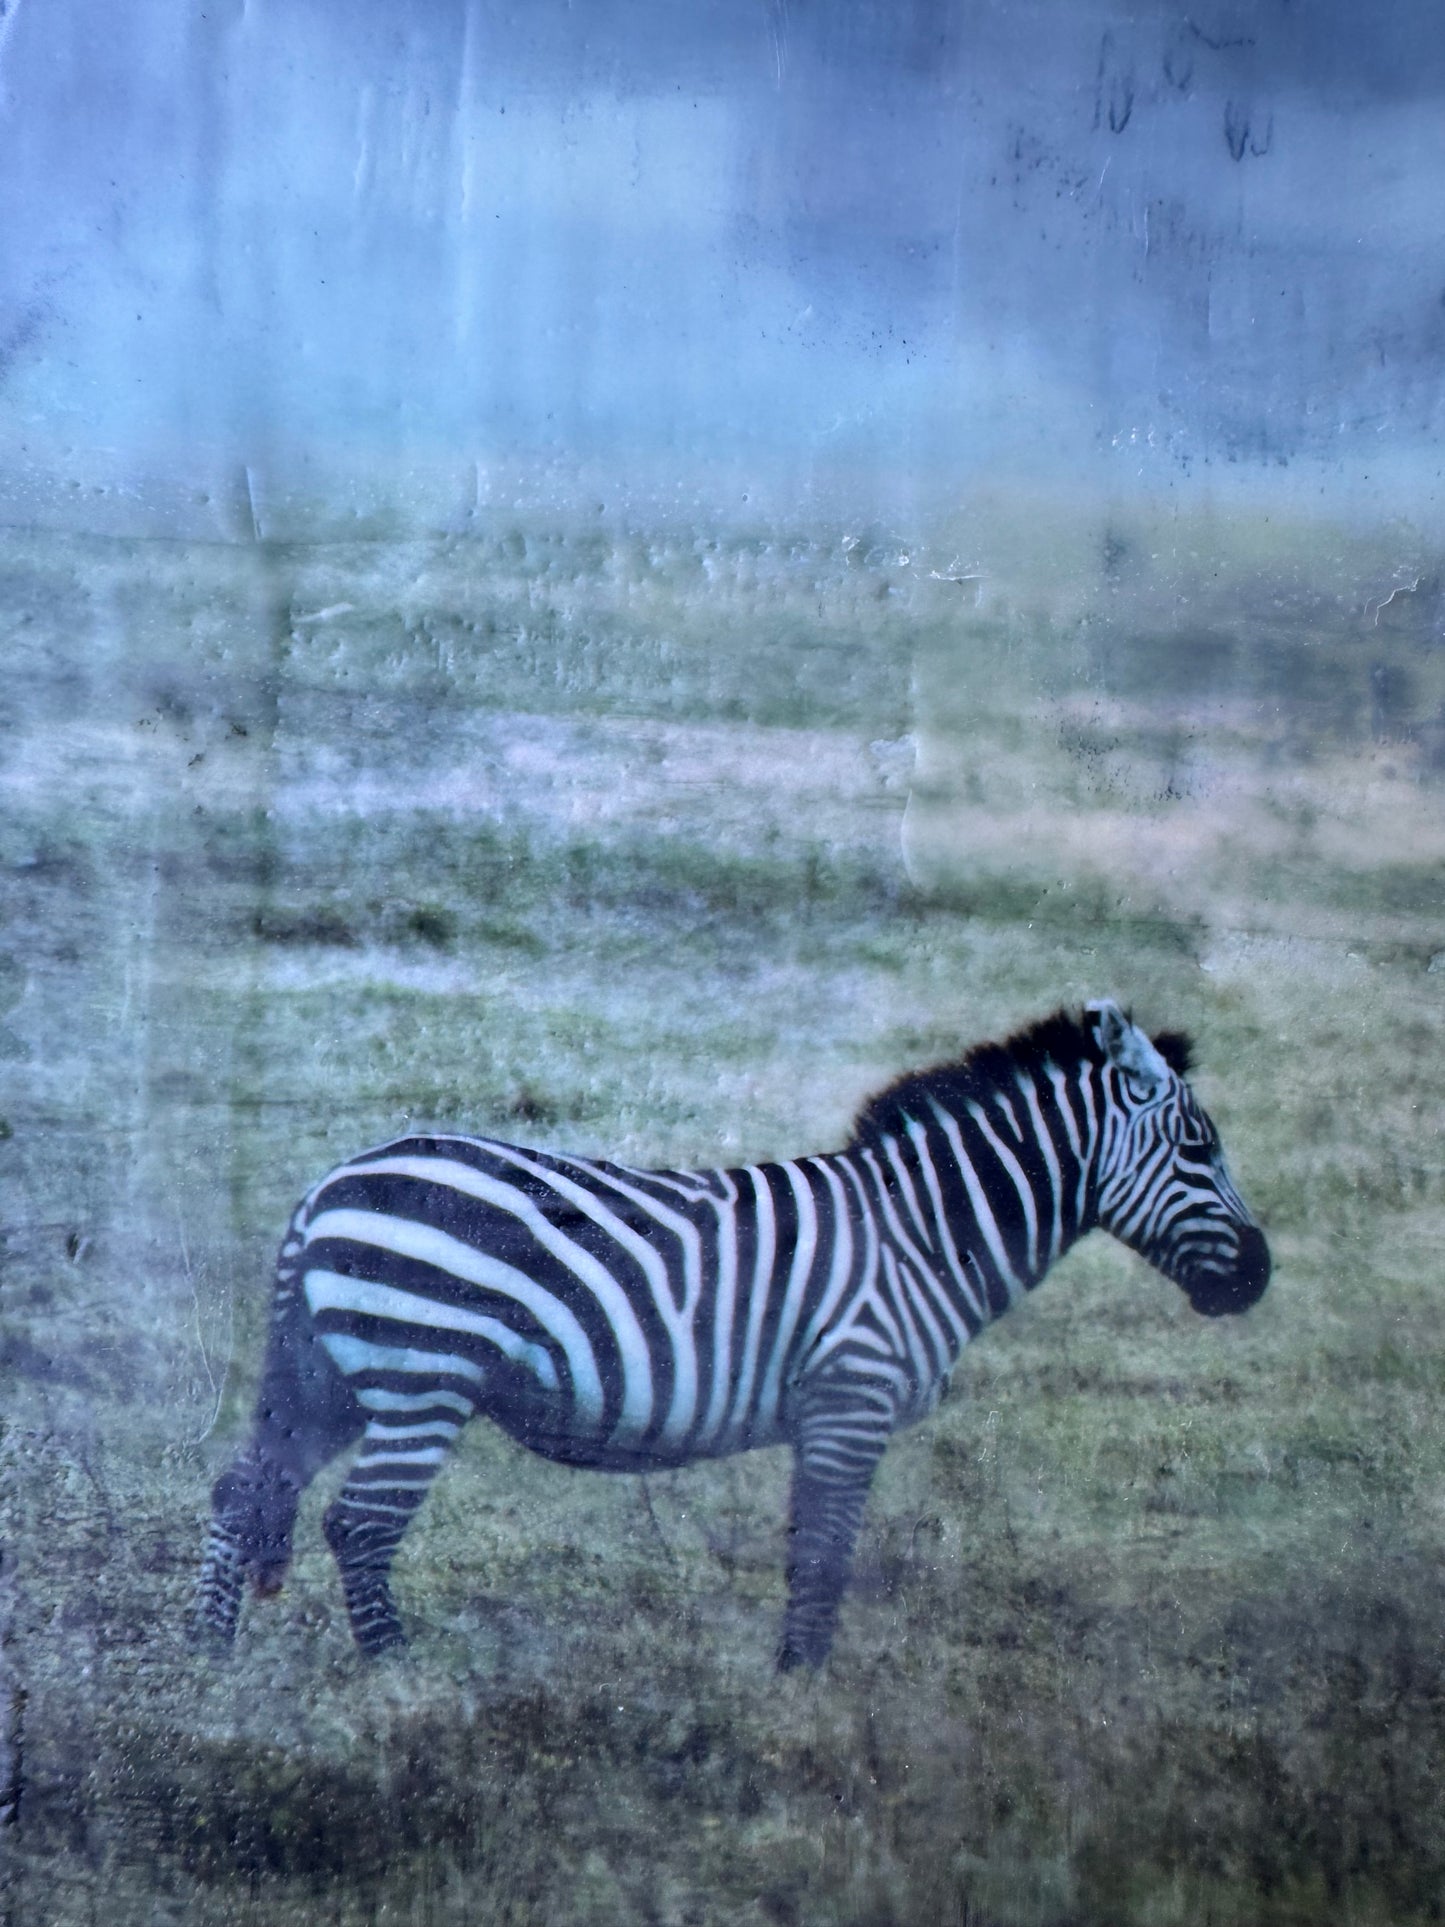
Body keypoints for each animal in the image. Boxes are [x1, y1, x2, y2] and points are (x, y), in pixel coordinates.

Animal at [193, 999, 1270, 1670]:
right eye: (1198, 1147)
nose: (1260, 1275)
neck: (923, 1230)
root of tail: (328, 1186)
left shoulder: (833, 1410)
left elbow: (810, 1545)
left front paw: (795, 1675)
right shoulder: (851, 1395)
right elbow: (825, 1550)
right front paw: (803, 1685)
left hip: (331, 1375)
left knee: (246, 1490)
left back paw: (208, 1661)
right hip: (421, 1374)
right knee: (359, 1524)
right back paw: (400, 1675)